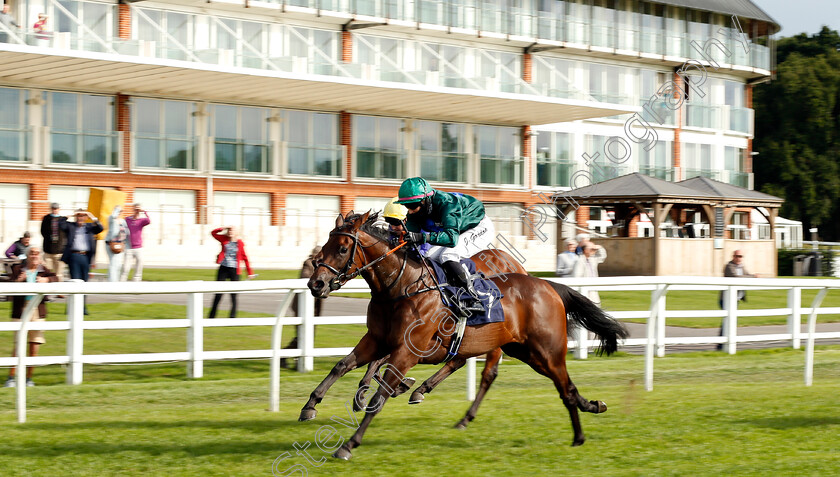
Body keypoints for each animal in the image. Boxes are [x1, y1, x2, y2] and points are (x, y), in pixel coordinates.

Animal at [298, 218, 528, 426]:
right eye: (325, 246)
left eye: (343, 249)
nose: (316, 283)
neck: (401, 285)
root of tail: (518, 266)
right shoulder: (377, 338)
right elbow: (343, 365)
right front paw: (311, 405)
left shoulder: (411, 343)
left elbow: (380, 365)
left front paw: (370, 394)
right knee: (458, 360)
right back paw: (421, 390)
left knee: (488, 373)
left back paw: (463, 415)